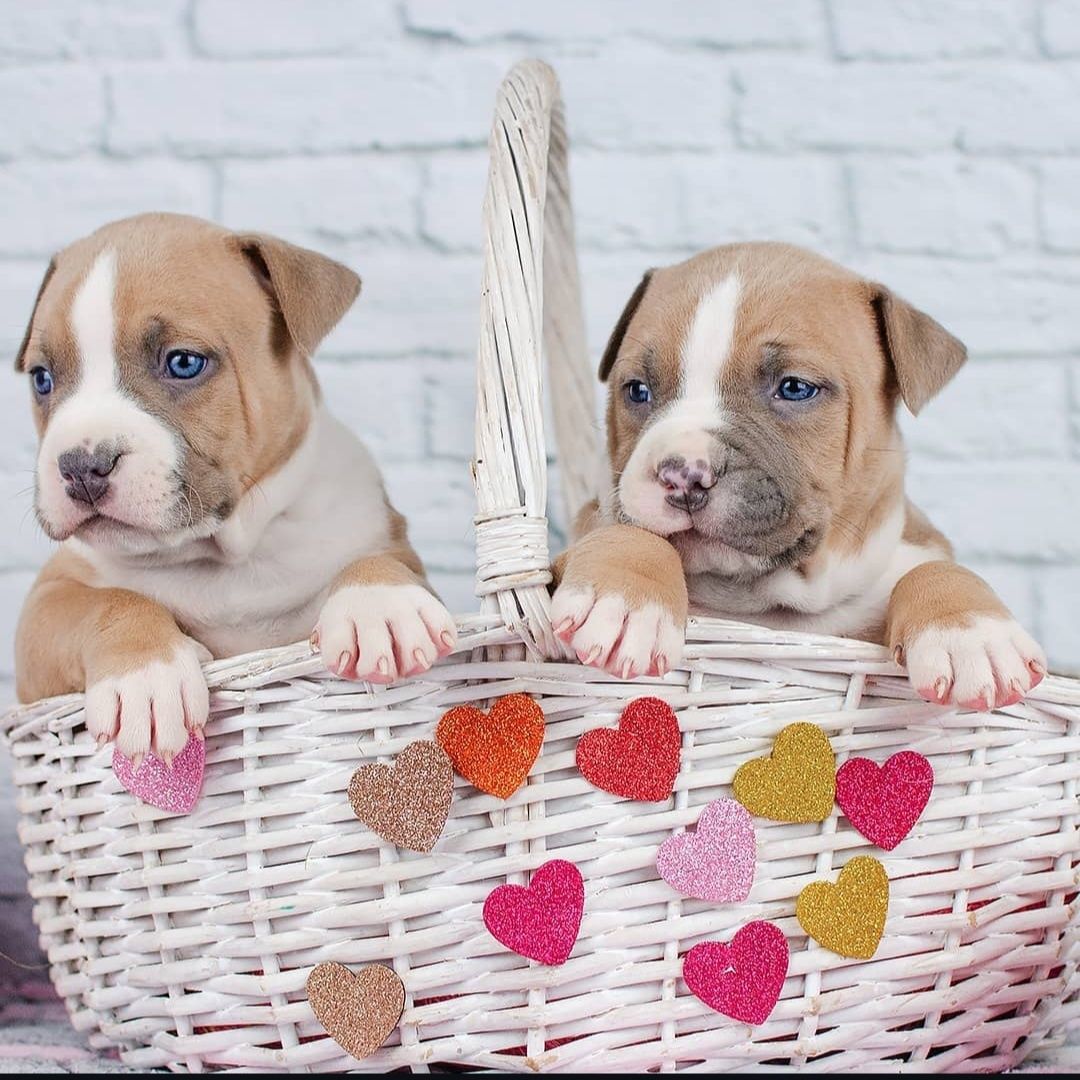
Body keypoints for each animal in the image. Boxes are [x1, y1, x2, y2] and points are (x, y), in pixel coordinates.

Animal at [14, 212, 456, 765]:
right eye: (42, 378)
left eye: (183, 363)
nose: (80, 465)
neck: (222, 556)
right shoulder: (41, 619)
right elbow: (104, 602)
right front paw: (146, 676)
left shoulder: (379, 532)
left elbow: (383, 561)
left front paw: (382, 605)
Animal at [551, 242, 1046, 711]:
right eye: (637, 391)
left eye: (794, 388)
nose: (683, 474)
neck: (774, 601)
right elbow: (630, 533)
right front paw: (623, 599)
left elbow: (935, 568)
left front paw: (969, 634)